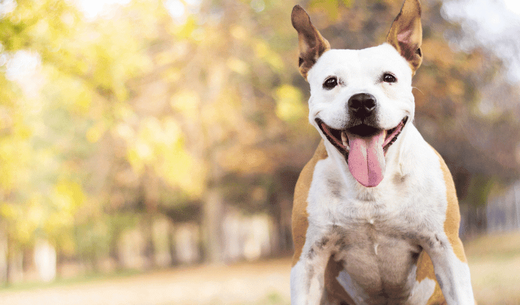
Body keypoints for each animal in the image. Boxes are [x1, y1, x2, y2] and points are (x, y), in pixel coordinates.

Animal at [290, 0, 478, 304]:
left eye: (389, 78)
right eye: (331, 82)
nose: (361, 101)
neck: (370, 190)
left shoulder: (446, 246)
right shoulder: (307, 258)